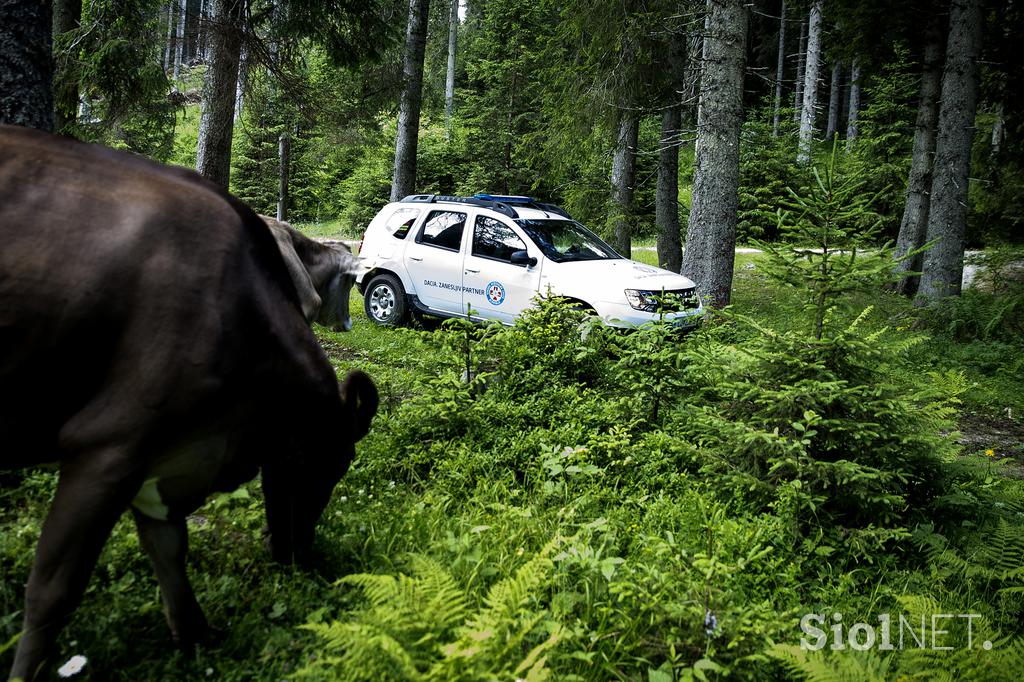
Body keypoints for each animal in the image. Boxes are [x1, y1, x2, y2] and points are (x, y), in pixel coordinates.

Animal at [1, 124, 376, 675]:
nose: (299, 555)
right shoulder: (107, 447)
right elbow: (52, 591)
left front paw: (196, 634)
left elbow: (168, 548)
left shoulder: (160, 459)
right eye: (332, 464)